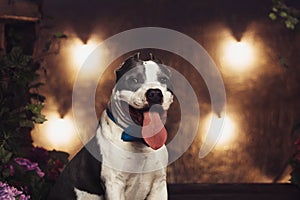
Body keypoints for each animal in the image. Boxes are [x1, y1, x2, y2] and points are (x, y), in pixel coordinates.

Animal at [47, 53, 173, 200]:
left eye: (163, 79)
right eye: (134, 80)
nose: (154, 93)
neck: (139, 144)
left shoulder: (159, 185)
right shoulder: (114, 185)